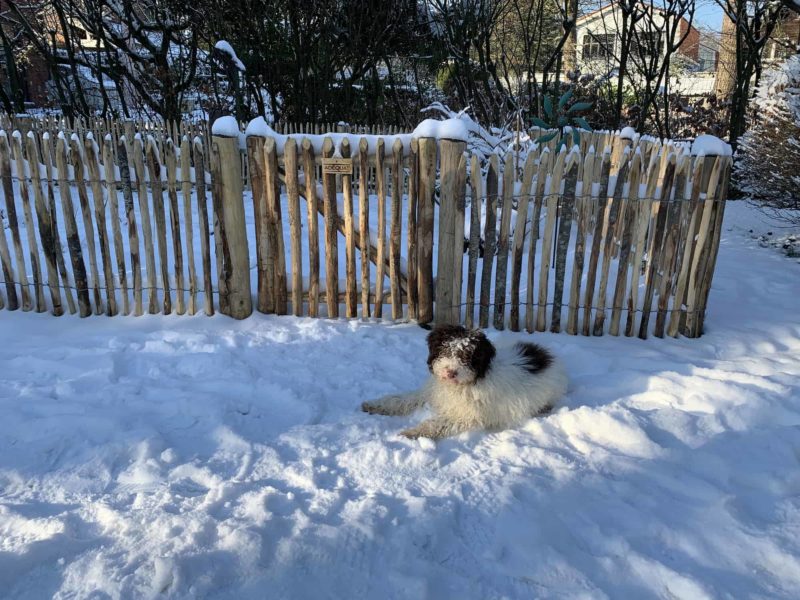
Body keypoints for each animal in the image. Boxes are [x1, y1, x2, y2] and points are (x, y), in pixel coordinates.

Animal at [360, 324, 564, 440]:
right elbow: (401, 399)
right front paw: (374, 405)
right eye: (446, 349)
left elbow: (436, 424)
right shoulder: (430, 393)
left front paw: (412, 432)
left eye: (467, 356)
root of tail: (548, 355)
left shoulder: (467, 416)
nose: (450, 372)